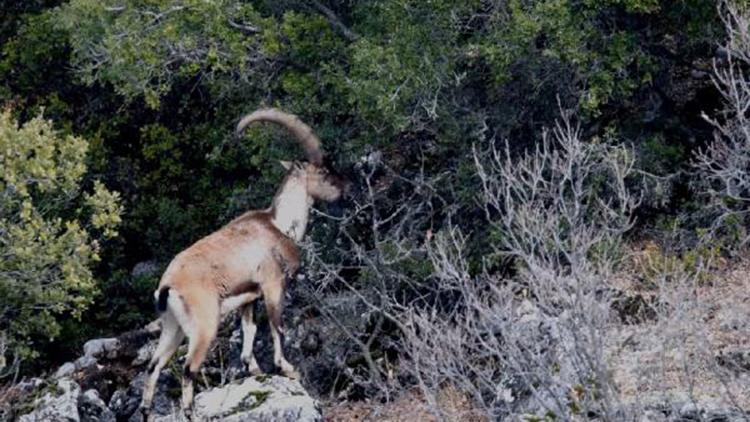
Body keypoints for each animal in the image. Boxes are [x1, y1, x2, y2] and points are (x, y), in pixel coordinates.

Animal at [140, 109, 352, 418]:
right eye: (323, 171)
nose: (347, 187)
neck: (278, 224)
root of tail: (167, 287)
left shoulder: (248, 298)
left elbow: (249, 332)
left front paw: (253, 369)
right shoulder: (273, 285)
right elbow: (277, 326)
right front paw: (287, 369)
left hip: (172, 328)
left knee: (153, 366)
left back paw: (146, 411)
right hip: (204, 326)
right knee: (188, 368)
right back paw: (191, 412)